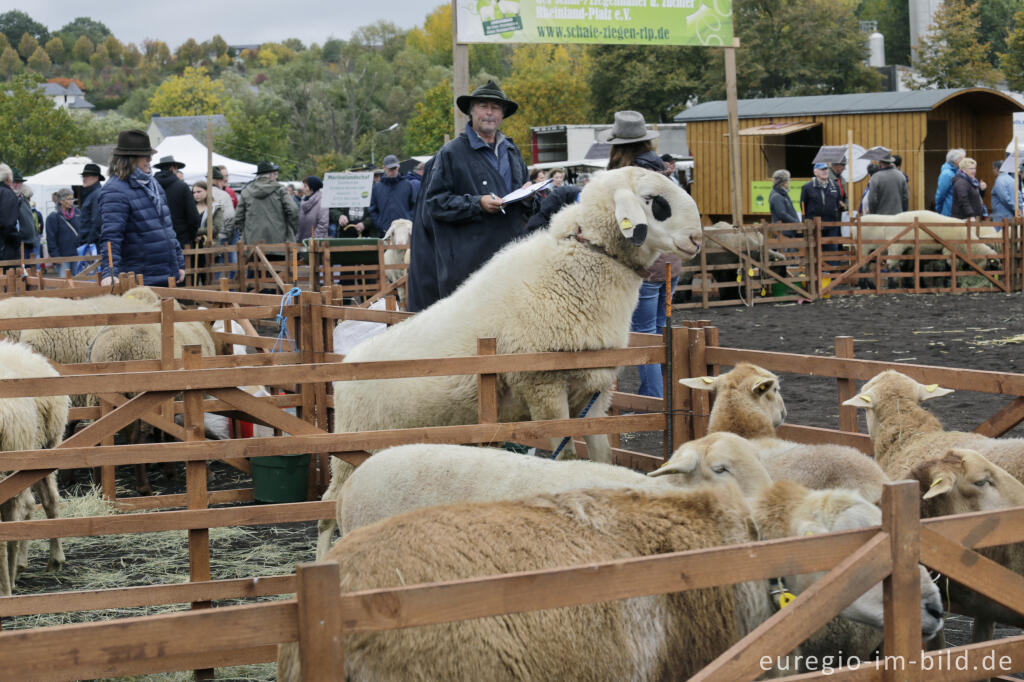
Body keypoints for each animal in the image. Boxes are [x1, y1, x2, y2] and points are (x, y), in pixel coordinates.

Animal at [319, 164, 704, 552]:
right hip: (352, 448)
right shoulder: (543, 386)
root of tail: (346, 364)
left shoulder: (594, 393)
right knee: (327, 507)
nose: (697, 239)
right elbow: (565, 457)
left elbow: (603, 457)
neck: (577, 269)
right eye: (653, 201)